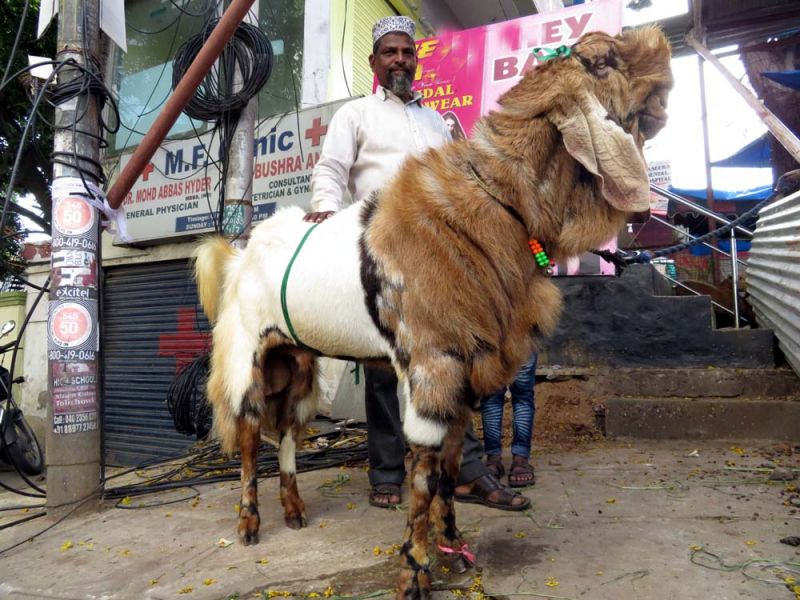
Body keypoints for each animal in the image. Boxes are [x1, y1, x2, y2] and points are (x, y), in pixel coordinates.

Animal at [197, 25, 672, 596]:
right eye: (600, 61)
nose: (664, 71)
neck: (498, 197)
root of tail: (239, 254)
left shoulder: (466, 371)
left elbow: (448, 465)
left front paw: (453, 545)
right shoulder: (431, 364)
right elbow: (423, 472)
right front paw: (415, 570)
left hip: (297, 364)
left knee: (288, 429)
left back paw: (294, 510)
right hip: (248, 358)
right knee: (249, 438)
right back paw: (250, 523)